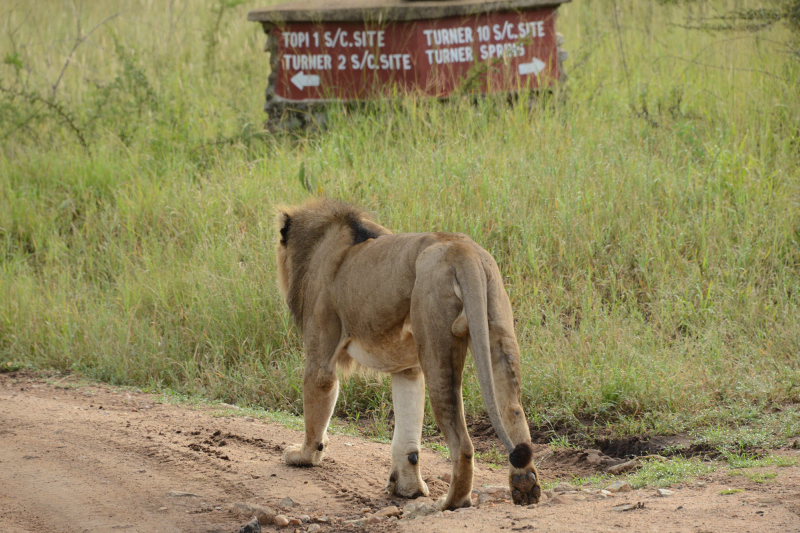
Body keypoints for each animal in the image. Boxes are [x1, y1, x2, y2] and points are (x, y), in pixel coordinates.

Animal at [272, 198, 540, 508]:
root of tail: (463, 250)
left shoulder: (321, 356)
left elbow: (316, 410)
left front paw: (303, 456)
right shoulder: (407, 370)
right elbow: (408, 433)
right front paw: (408, 489)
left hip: (437, 343)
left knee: (462, 444)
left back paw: (450, 503)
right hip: (498, 329)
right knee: (513, 409)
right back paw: (525, 486)